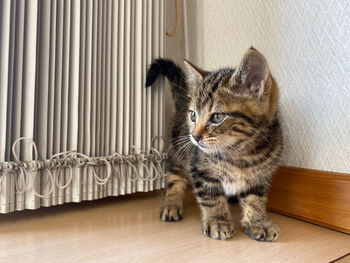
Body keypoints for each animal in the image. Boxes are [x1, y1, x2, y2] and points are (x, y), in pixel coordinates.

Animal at [145, 48, 282, 242]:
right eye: (193, 116)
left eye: (217, 117)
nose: (194, 136)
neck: (239, 153)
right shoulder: (201, 170)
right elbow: (211, 196)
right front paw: (218, 221)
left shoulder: (261, 175)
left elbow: (255, 199)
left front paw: (258, 222)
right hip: (178, 150)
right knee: (174, 178)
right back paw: (171, 204)